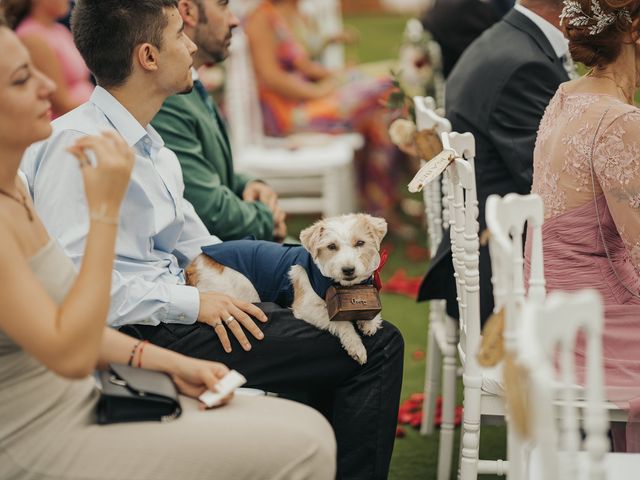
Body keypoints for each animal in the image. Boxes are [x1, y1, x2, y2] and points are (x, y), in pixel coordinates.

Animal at [182, 214, 388, 364]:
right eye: (331, 246)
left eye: (360, 243)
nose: (348, 270)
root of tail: (193, 266)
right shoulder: (306, 307)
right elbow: (341, 322)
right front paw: (356, 345)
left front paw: (369, 322)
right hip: (243, 290)